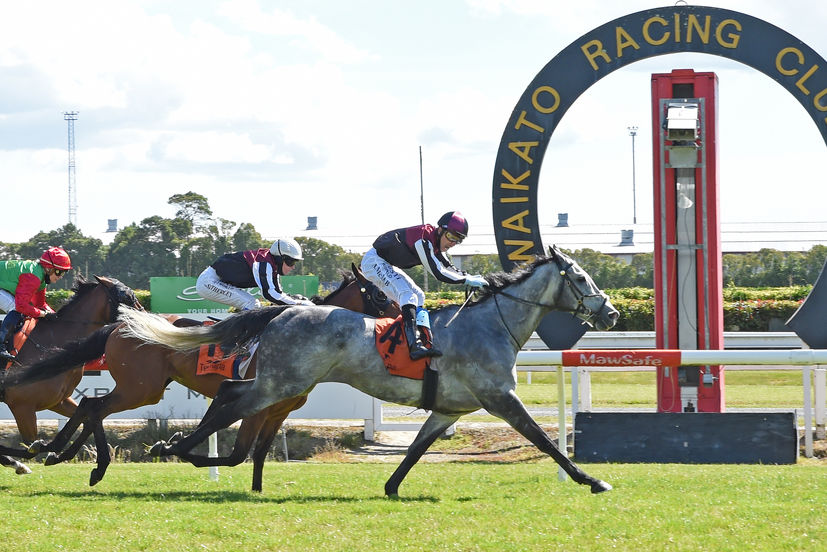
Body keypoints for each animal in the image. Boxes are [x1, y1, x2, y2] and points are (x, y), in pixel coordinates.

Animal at [15, 268, 398, 492]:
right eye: (381, 294)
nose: (402, 319)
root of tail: (120, 325)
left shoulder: (277, 411)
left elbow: (259, 453)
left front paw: (256, 490)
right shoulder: (257, 407)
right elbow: (238, 453)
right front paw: (171, 446)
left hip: (140, 388)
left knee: (88, 406)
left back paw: (54, 451)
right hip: (142, 389)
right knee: (94, 405)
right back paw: (88, 462)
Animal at [124, 247, 620, 496]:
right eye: (581, 278)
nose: (612, 312)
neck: (492, 323)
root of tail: (283, 313)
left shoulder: (449, 409)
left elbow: (416, 450)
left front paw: (391, 487)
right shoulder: (499, 398)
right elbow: (542, 439)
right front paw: (591, 480)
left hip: (280, 384)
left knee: (229, 390)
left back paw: (179, 447)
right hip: (282, 383)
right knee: (230, 401)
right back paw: (175, 447)